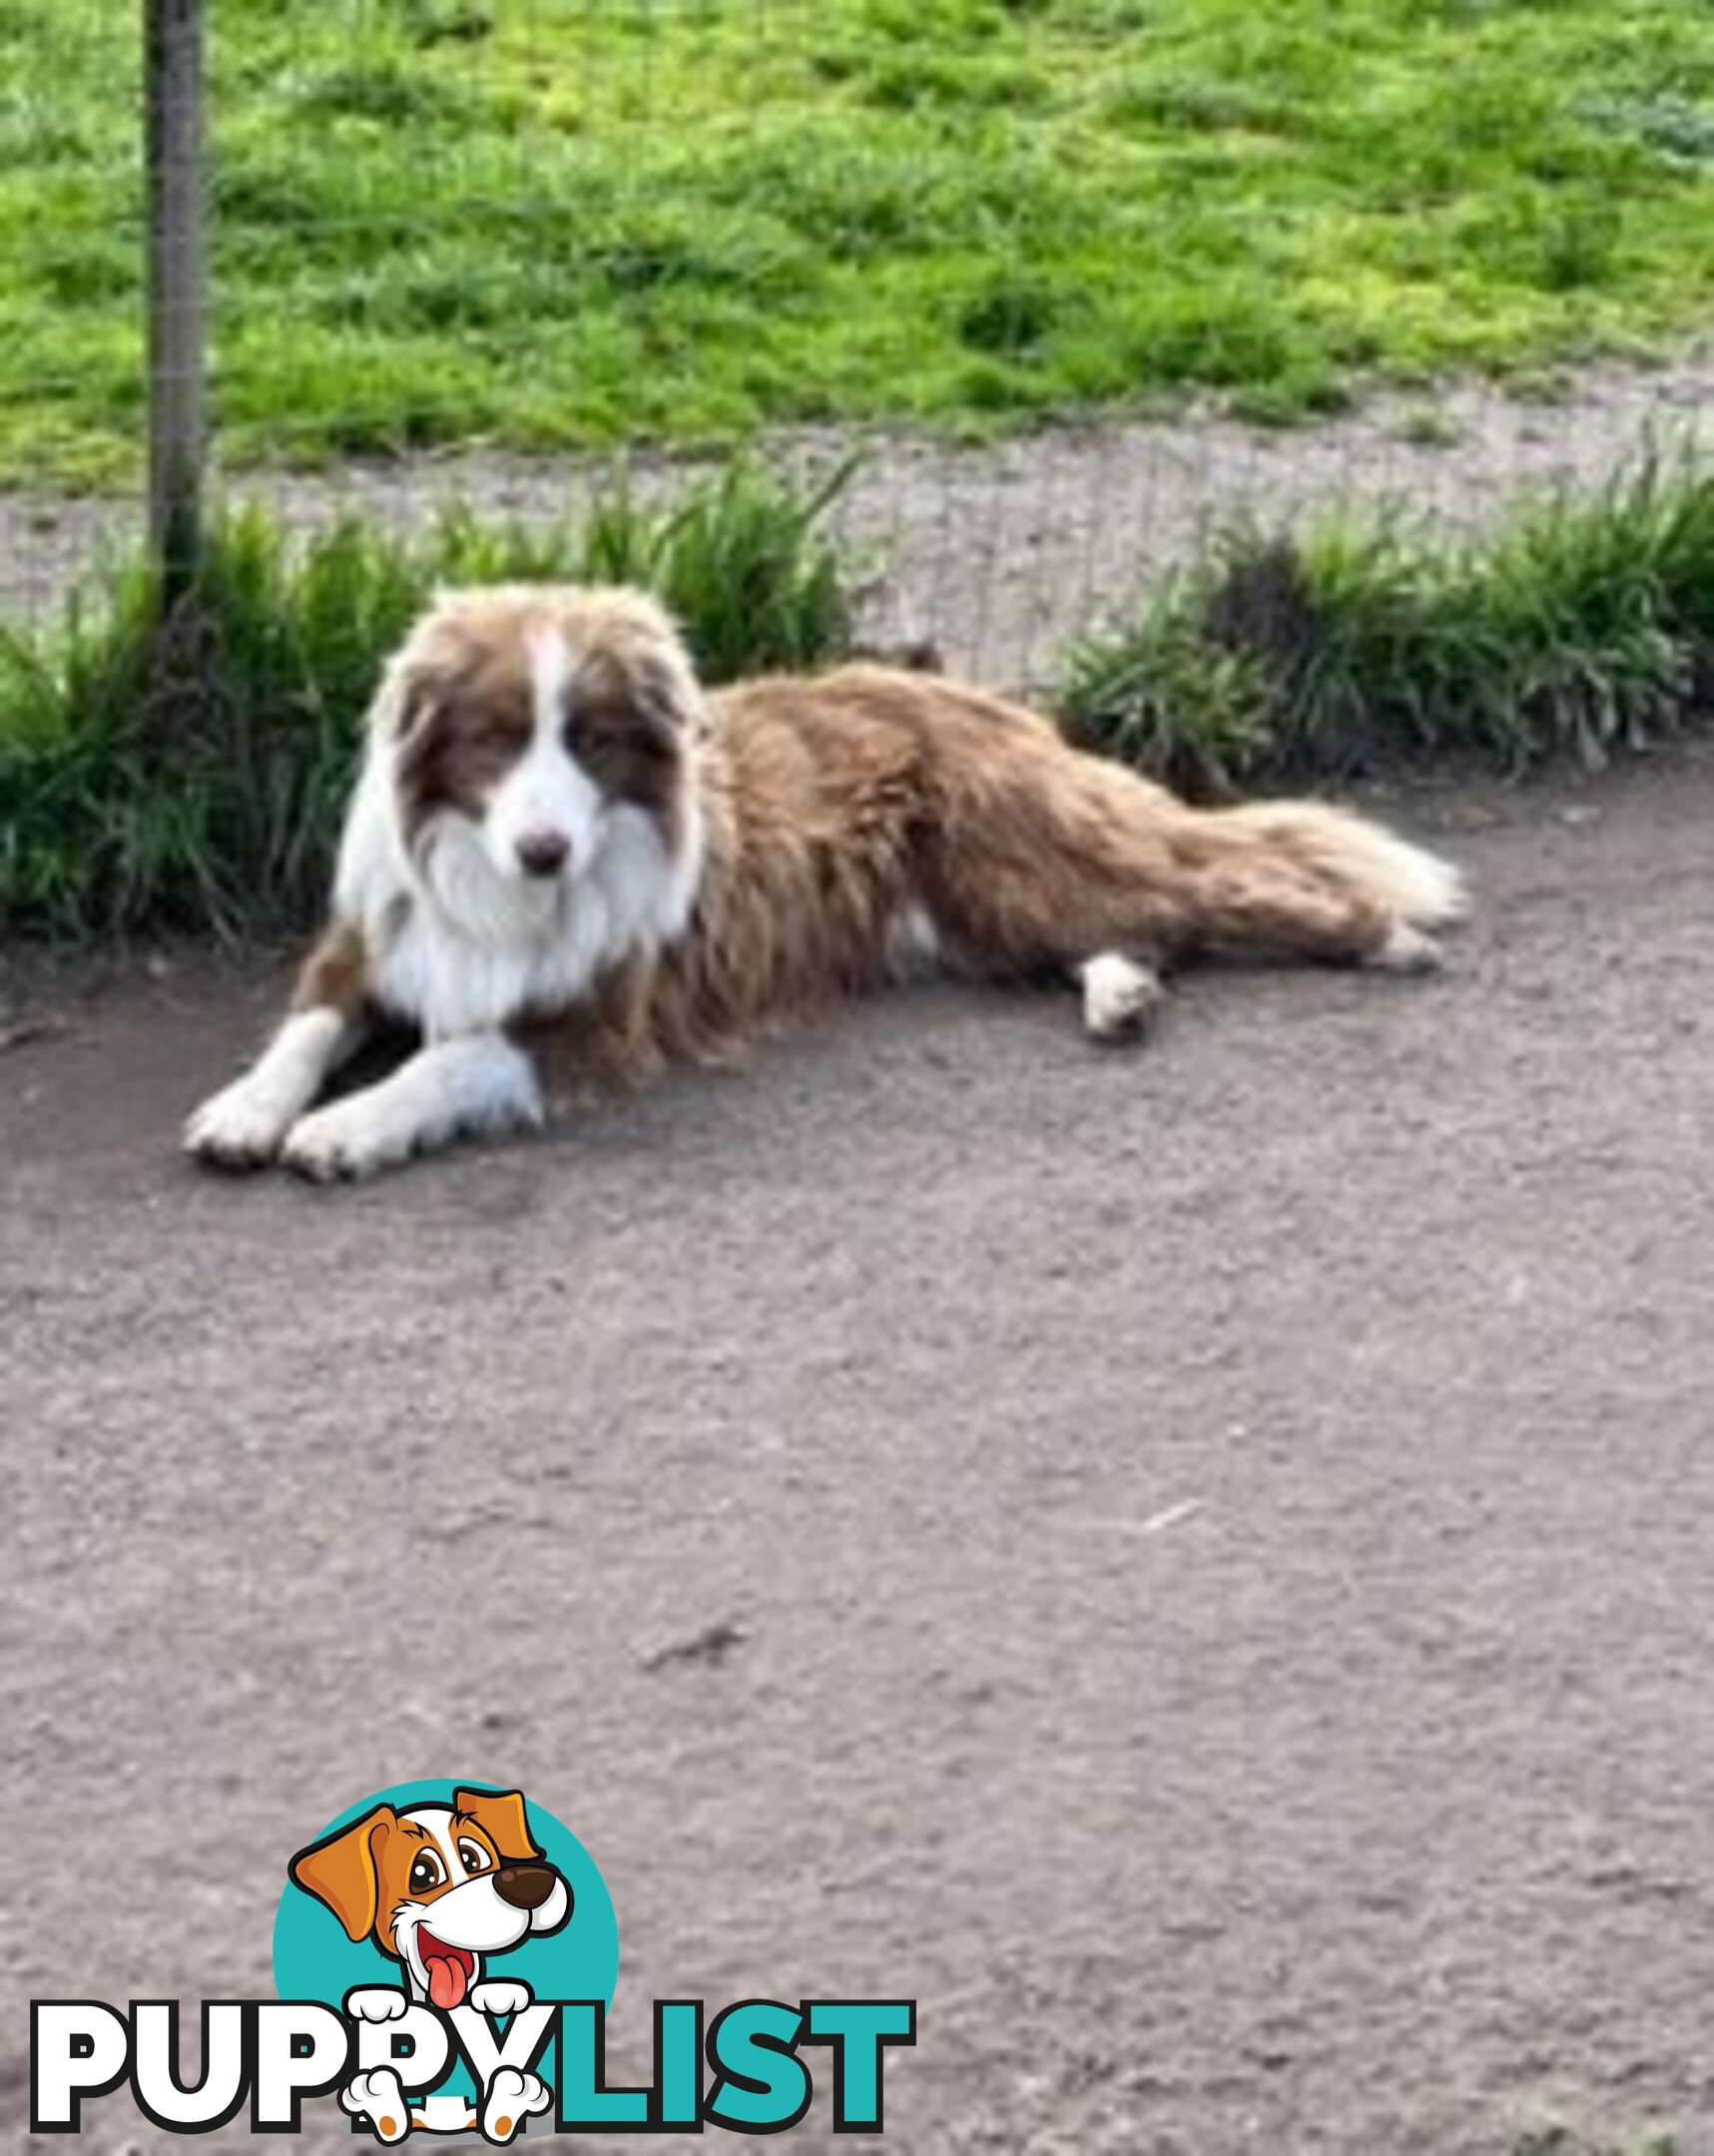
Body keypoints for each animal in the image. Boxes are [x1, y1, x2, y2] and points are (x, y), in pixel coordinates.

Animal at [191, 586, 1474, 1181]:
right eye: (498, 739)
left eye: (590, 740)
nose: (545, 851)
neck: (499, 888)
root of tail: (986, 699)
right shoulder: (373, 941)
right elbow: (303, 1029)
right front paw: (249, 1109)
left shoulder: (601, 1021)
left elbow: (445, 1059)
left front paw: (346, 1126)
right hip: (990, 913)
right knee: (1139, 935)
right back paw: (1120, 996)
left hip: (1025, 870)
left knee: (1225, 892)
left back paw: (1382, 937)